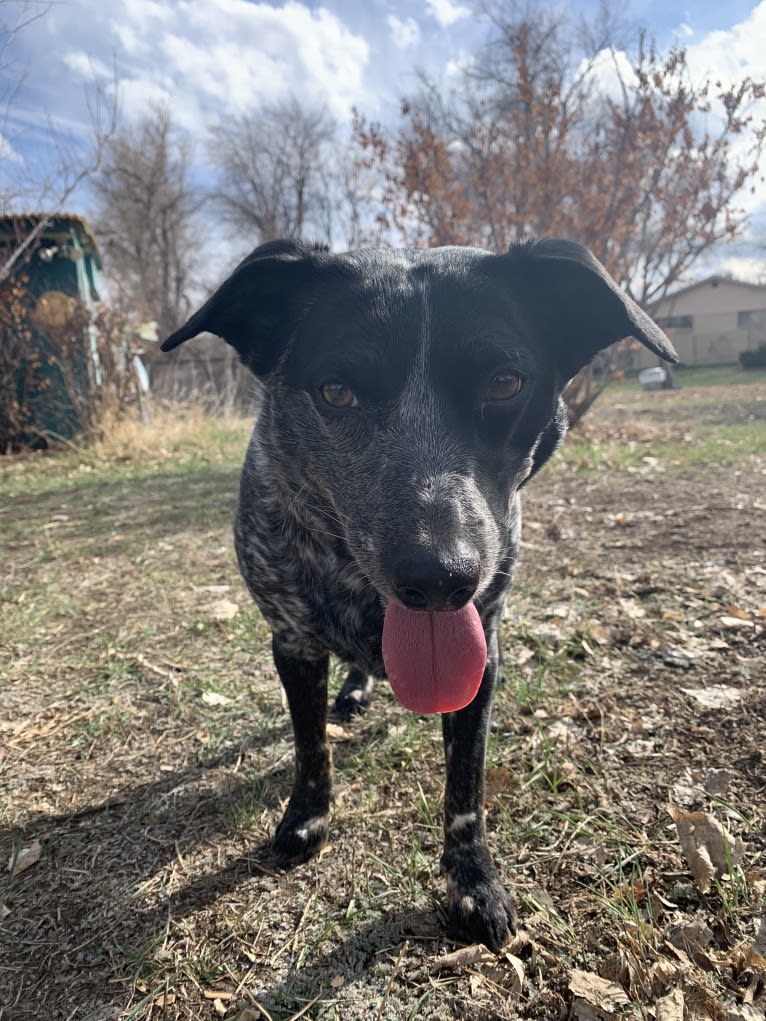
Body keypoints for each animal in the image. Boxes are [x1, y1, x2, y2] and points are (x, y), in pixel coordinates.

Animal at [163, 236, 678, 947]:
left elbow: (466, 787)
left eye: (503, 383)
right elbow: (310, 744)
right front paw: (307, 817)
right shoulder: (292, 642)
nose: (439, 578)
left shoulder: (483, 652)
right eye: (337, 392)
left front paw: (474, 881)